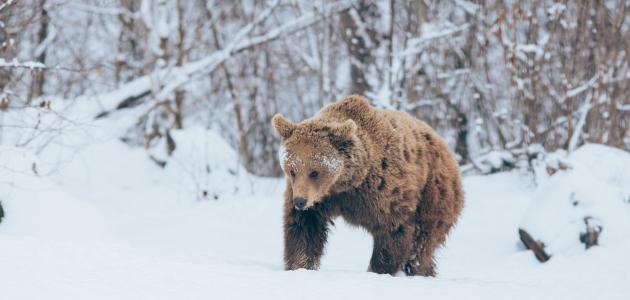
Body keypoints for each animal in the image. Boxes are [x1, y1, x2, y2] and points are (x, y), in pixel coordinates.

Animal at [274, 96, 466, 276]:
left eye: (314, 172)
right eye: (292, 170)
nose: (300, 201)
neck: (347, 182)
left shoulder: (385, 192)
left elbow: (393, 232)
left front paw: (379, 269)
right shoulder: (322, 199)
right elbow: (304, 229)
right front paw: (300, 266)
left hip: (434, 193)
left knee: (422, 242)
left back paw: (418, 269)